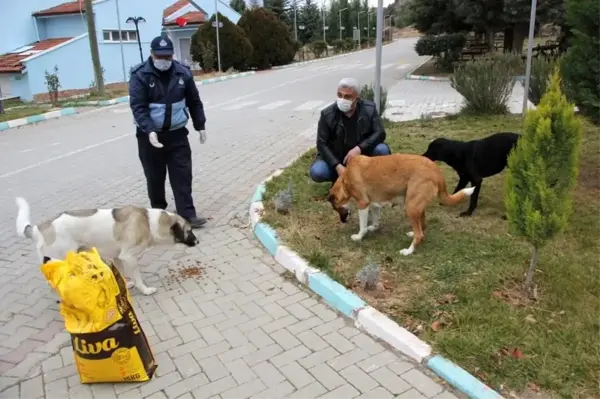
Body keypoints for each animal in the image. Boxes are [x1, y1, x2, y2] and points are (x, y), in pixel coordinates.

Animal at [15, 198, 198, 296]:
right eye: (189, 231)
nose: (197, 242)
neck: (148, 222)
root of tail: (40, 228)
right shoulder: (129, 257)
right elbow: (137, 277)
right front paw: (145, 290)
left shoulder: (118, 257)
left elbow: (122, 274)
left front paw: (125, 284)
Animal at [326, 153, 476, 256]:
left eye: (336, 208)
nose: (343, 221)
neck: (346, 180)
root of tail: (436, 170)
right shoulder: (374, 204)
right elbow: (376, 221)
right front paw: (373, 228)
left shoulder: (363, 204)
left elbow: (362, 226)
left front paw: (359, 236)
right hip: (417, 206)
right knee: (422, 227)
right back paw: (413, 234)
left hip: (411, 207)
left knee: (420, 234)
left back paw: (408, 251)